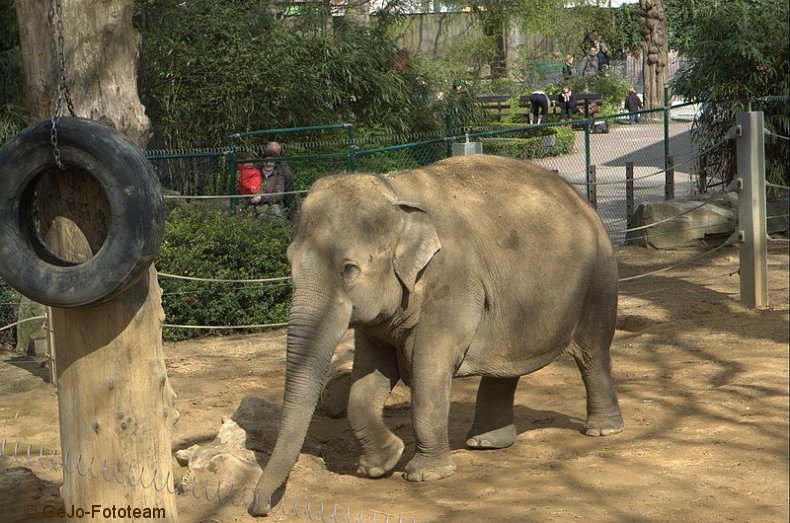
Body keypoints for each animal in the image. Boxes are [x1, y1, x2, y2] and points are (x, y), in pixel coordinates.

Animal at [251, 155, 620, 516]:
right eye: (289, 262)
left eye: (349, 269)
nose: (259, 507)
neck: (393, 190)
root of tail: (582, 197)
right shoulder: (380, 320)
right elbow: (366, 380)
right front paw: (379, 464)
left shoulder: (452, 281)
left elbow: (429, 369)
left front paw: (424, 475)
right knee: (505, 365)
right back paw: (485, 443)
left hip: (598, 277)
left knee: (593, 353)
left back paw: (602, 430)